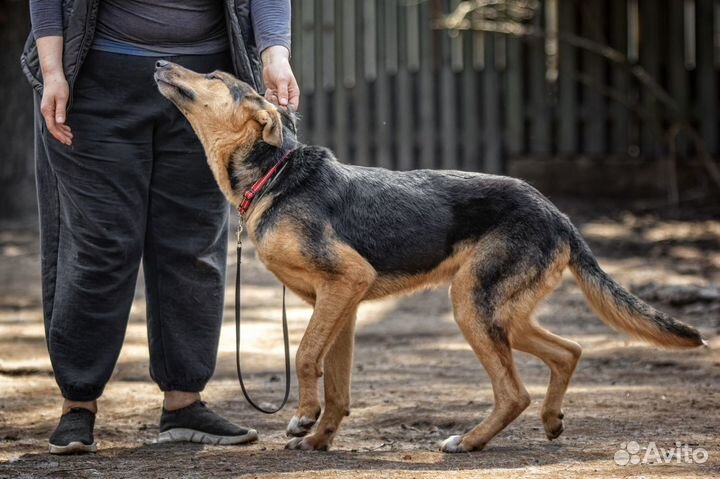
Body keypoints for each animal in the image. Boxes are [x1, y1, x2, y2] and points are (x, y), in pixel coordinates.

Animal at [155, 61, 704, 454]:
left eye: (213, 76)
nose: (159, 61)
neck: (275, 175)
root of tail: (559, 214)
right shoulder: (340, 303)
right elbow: (338, 385)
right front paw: (320, 438)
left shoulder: (346, 282)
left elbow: (306, 355)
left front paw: (303, 418)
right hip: (500, 310)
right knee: (568, 351)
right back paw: (549, 422)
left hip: (472, 305)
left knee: (515, 392)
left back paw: (470, 441)